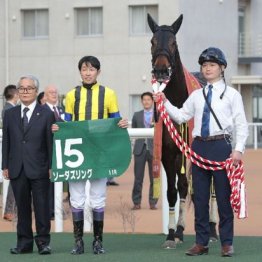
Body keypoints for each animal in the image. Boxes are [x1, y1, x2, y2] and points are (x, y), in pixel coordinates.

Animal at [146, 13, 218, 248]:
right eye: (152, 42)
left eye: (173, 42)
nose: (160, 70)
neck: (178, 102)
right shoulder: (168, 152)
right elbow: (172, 191)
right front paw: (171, 234)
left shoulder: (185, 151)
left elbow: (185, 186)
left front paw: (179, 229)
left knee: (209, 188)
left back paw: (212, 230)